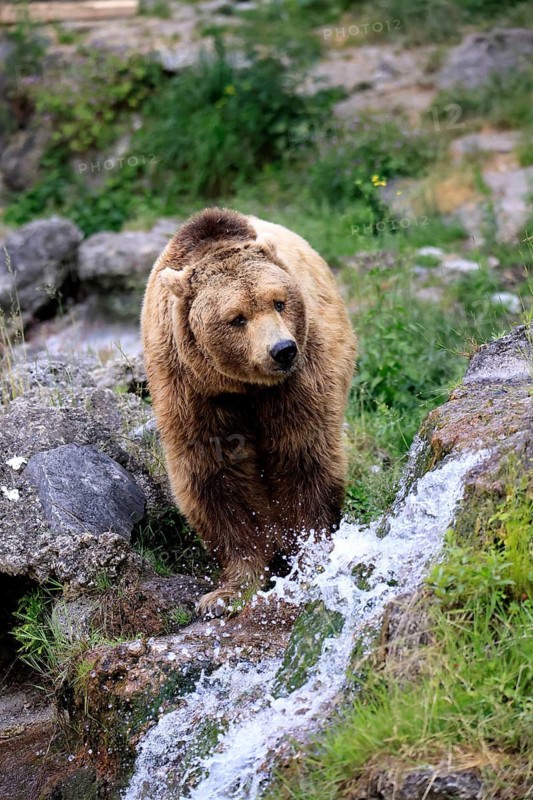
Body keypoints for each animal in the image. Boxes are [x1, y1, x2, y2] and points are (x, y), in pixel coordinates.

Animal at [141, 208, 356, 614]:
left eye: (279, 302)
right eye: (236, 317)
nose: (282, 349)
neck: (242, 386)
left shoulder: (299, 377)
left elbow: (301, 455)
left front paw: (307, 554)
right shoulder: (192, 388)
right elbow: (216, 472)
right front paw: (225, 593)